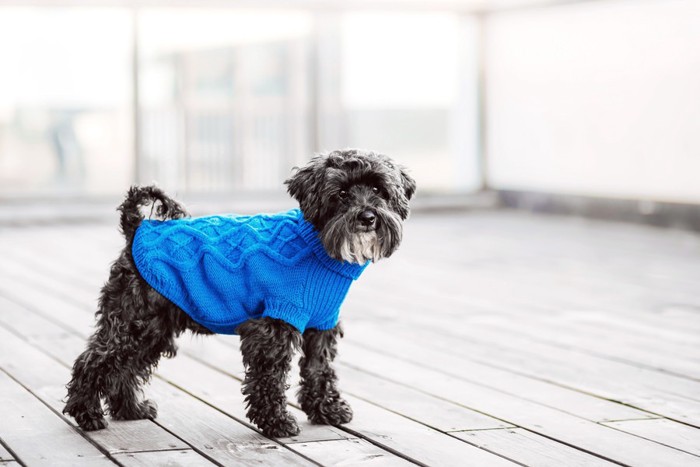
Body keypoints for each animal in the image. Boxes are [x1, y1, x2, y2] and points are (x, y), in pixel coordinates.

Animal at [63, 149, 412, 438]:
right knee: (93, 362)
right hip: (132, 322)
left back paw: (131, 410)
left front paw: (327, 410)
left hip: (153, 329)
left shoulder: (321, 326)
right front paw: (277, 422)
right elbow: (269, 379)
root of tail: (137, 227)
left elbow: (319, 371)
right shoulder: (273, 326)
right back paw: (87, 414)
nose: (367, 217)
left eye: (379, 191)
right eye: (340, 193)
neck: (316, 244)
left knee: (124, 368)